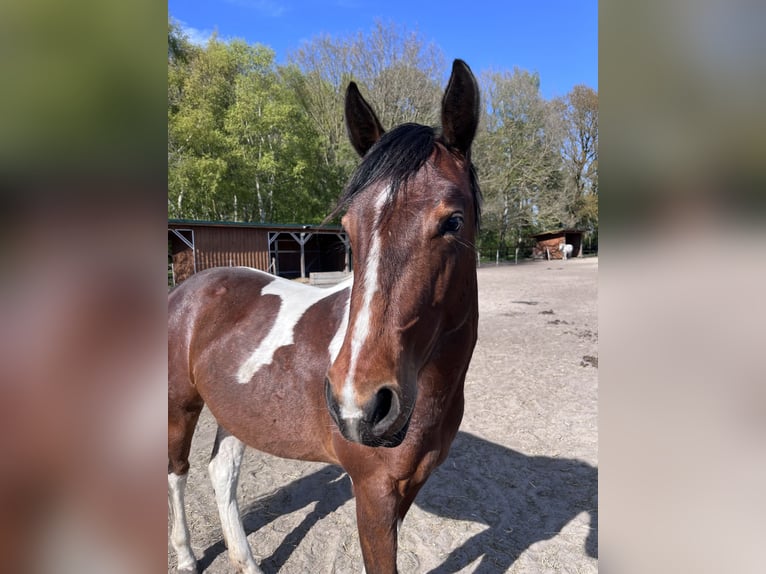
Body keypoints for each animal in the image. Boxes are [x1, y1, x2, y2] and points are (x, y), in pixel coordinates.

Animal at [168, 59, 482, 574]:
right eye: (348, 229)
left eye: (453, 221)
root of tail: (187, 289)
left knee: (221, 472)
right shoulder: (373, 496)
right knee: (177, 472)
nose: (360, 405)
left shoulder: (407, 488)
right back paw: (187, 555)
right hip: (180, 405)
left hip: (234, 410)